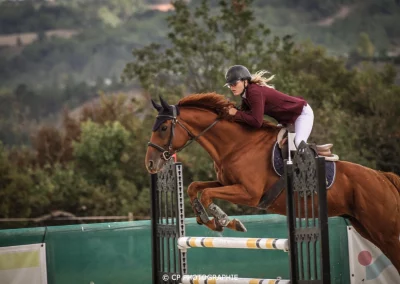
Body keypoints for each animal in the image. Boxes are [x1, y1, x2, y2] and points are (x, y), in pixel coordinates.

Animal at [145, 92, 400, 272]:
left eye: (164, 128)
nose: (150, 164)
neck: (236, 145)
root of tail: (383, 178)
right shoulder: (225, 182)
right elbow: (194, 187)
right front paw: (206, 219)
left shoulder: (250, 194)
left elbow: (207, 195)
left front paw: (226, 221)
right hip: (365, 226)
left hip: (385, 230)